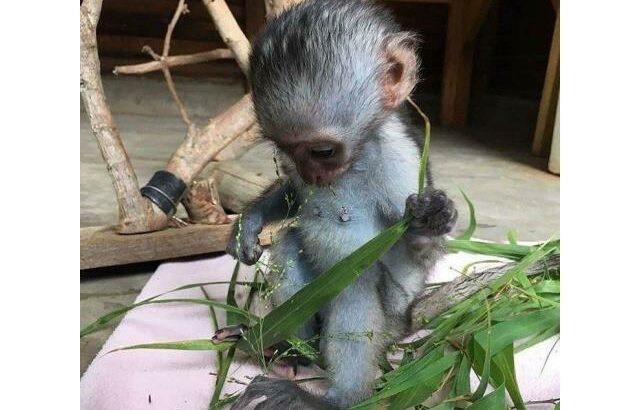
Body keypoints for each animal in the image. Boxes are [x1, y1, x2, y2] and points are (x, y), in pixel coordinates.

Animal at [225, 0, 458, 408]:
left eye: (323, 151)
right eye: (285, 149)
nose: (312, 175)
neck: (359, 158)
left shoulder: (399, 160)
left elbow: (412, 255)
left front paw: (433, 219)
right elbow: (292, 195)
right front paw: (247, 225)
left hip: (393, 320)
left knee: (358, 283)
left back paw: (334, 398)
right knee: (291, 243)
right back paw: (286, 350)